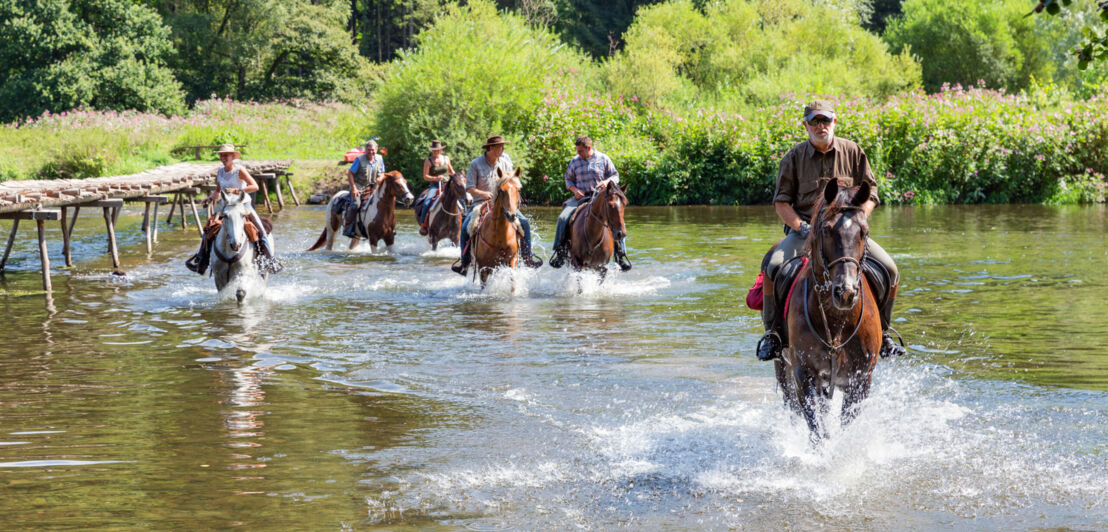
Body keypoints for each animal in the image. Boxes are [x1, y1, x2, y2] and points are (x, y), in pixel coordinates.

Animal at [780, 178, 881, 441]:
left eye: (864, 232)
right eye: (826, 230)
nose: (845, 292)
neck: (836, 321)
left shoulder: (861, 379)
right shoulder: (803, 374)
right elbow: (817, 429)